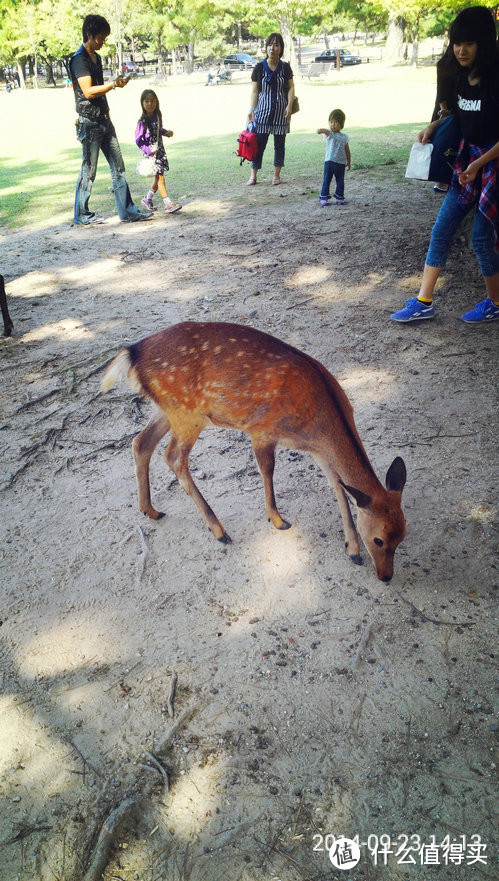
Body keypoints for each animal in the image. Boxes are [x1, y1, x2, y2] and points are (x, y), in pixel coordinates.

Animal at [101, 320, 406, 580]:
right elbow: (267, 470)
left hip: (167, 408)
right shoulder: (262, 430)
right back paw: (218, 530)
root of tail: (132, 352)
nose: (386, 576)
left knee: (141, 442)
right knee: (173, 456)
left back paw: (150, 510)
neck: (319, 422)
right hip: (187, 413)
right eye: (379, 539)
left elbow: (338, 485)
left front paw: (352, 548)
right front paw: (278, 520)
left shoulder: (318, 450)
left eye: (402, 535)